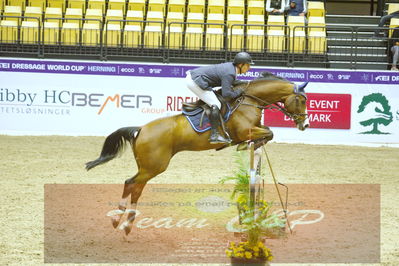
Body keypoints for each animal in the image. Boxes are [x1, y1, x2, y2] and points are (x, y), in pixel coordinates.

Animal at [86, 71, 310, 235]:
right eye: (301, 100)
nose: (305, 125)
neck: (248, 100)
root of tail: (140, 130)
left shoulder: (255, 127)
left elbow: (267, 132)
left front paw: (249, 145)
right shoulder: (245, 130)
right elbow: (268, 133)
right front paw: (245, 145)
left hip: (147, 166)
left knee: (135, 187)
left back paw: (125, 223)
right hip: (154, 166)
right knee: (131, 183)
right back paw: (120, 220)